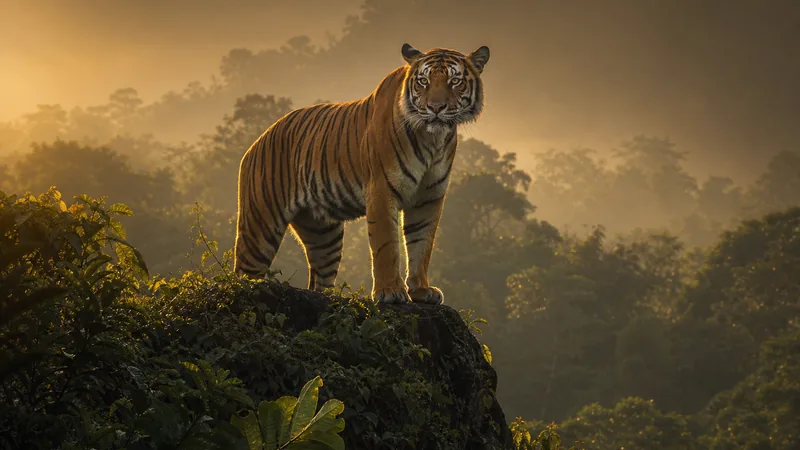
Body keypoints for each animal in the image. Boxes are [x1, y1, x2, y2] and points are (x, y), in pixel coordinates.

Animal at [234, 43, 491, 304]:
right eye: (423, 81)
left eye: (455, 81)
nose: (436, 108)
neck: (432, 139)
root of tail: (257, 141)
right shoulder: (382, 190)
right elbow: (386, 244)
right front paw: (390, 291)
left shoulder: (428, 198)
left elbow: (422, 244)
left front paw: (421, 290)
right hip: (261, 226)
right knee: (243, 273)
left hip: (323, 235)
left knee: (319, 281)